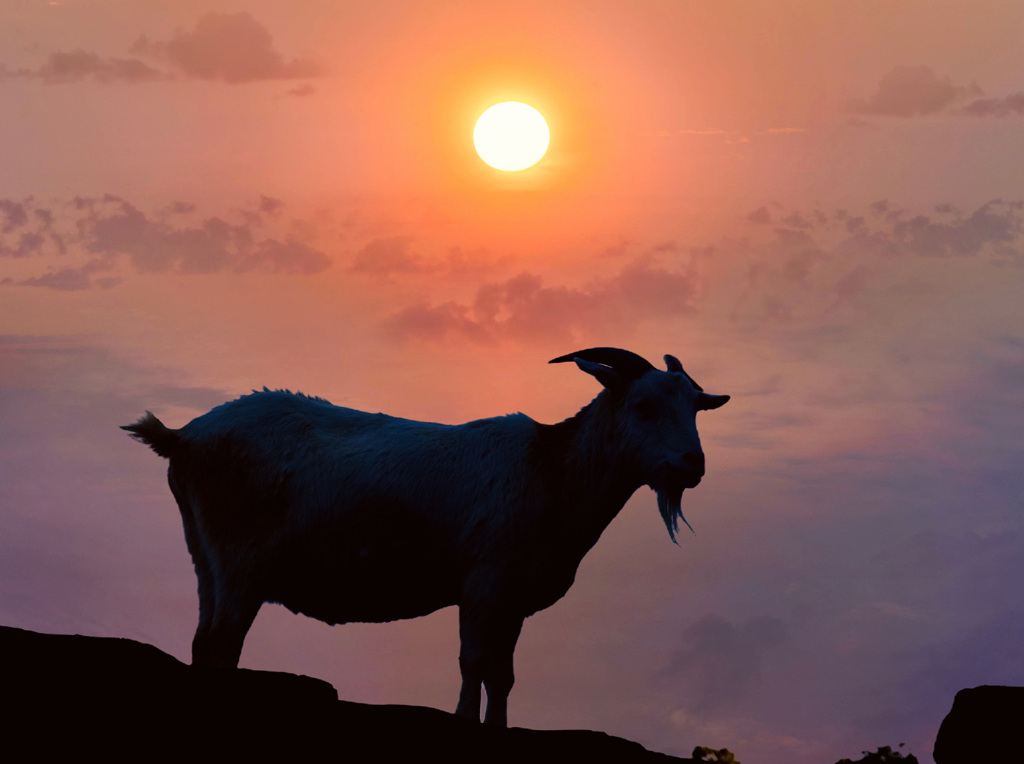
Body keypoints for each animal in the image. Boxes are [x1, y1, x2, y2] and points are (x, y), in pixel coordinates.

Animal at [123, 348, 729, 725]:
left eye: (696, 408)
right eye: (642, 405)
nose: (692, 465)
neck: (552, 471)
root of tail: (183, 438)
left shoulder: (511, 599)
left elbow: (504, 675)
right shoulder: (484, 582)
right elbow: (473, 664)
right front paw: (464, 721)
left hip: (207, 558)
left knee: (203, 641)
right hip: (240, 563)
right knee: (223, 644)